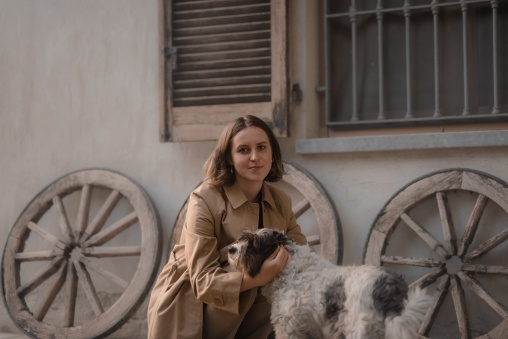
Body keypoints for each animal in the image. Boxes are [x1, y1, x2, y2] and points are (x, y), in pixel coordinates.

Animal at [228, 228, 430, 339]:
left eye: (253, 243)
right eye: (242, 238)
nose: (231, 249)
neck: (290, 270)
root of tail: (388, 287)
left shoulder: (289, 329)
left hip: (361, 331)